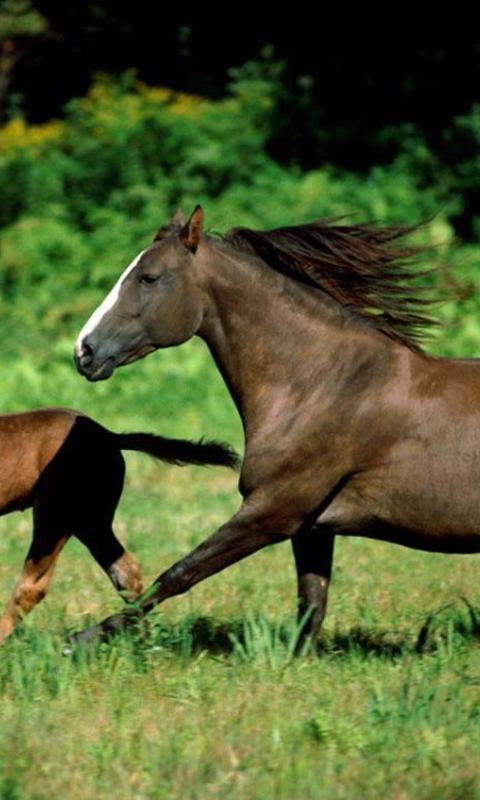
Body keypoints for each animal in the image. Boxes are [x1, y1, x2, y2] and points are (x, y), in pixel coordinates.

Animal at [0, 407, 237, 643]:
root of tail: (109, 436)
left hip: (58, 515)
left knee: (34, 585)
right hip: (90, 522)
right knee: (126, 573)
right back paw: (139, 638)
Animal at [72, 205, 477, 648]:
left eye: (148, 277)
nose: (84, 352)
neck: (326, 384)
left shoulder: (273, 510)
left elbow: (178, 573)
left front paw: (82, 639)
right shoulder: (312, 529)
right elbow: (311, 608)